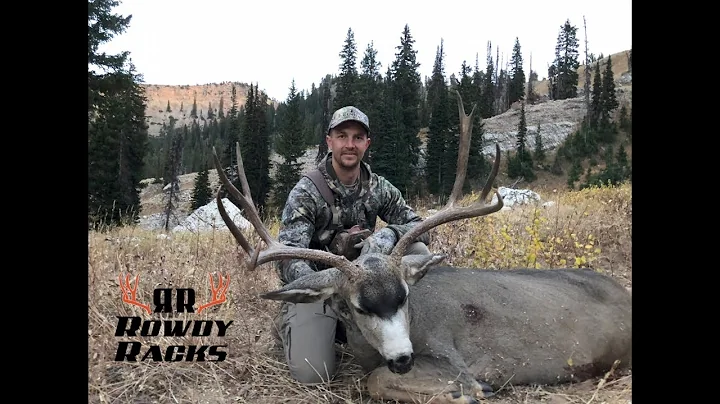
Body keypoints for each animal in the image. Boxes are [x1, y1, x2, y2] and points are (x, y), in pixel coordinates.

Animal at [210, 92, 632, 404]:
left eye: (405, 296)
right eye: (358, 307)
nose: (403, 359)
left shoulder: (453, 358)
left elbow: (378, 380)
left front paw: (468, 392)